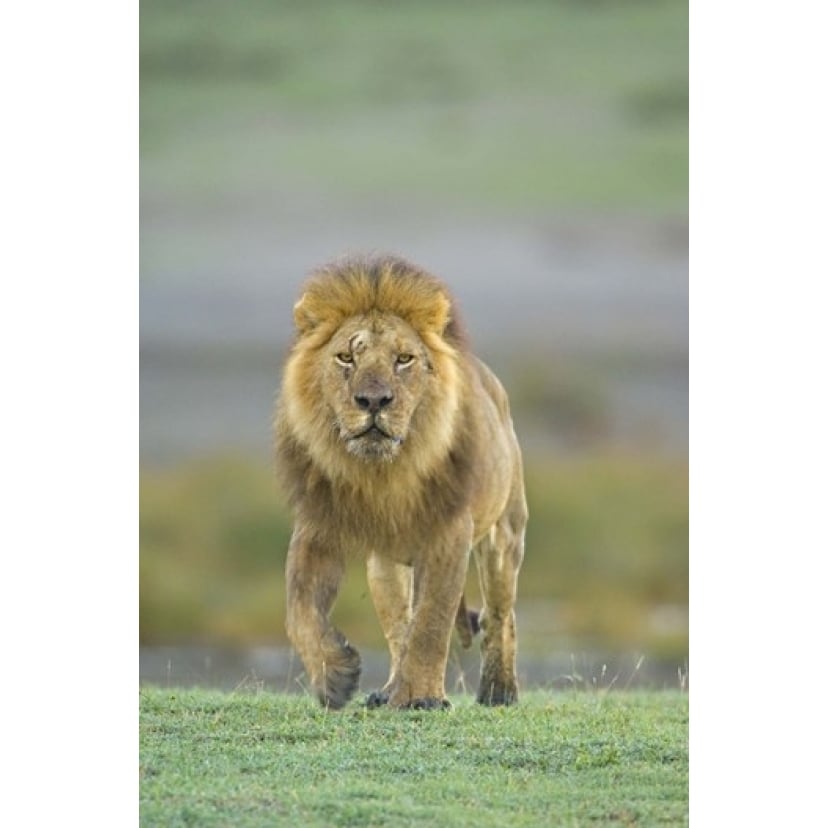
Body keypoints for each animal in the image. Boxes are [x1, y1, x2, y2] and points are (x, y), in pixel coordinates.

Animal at [274, 254, 528, 712]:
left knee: (501, 615)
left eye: (404, 359)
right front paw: (335, 679)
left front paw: (421, 698)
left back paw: (498, 692)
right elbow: (299, 609)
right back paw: (387, 690)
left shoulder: (450, 532)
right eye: (346, 358)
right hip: (384, 566)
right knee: (397, 628)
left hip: (505, 536)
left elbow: (431, 622)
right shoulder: (317, 526)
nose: (374, 401)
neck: (383, 473)